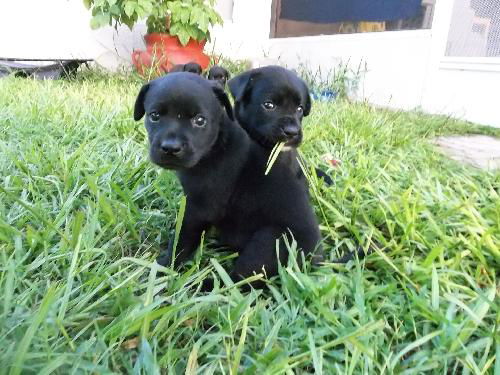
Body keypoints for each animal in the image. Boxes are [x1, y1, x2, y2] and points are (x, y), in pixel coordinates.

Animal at [134, 73, 320, 290]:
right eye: (154, 116)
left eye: (200, 120)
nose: (171, 148)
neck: (216, 145)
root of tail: (318, 258)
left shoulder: (199, 209)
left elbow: (182, 239)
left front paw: (162, 267)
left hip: (269, 242)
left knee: (241, 281)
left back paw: (202, 285)